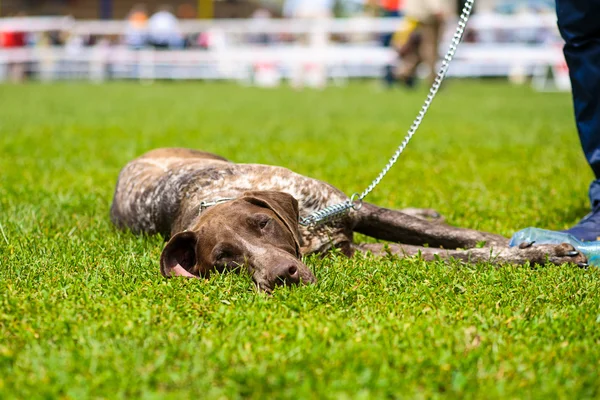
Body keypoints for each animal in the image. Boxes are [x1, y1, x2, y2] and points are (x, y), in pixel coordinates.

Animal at [110, 148, 588, 292]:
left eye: (261, 225)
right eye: (226, 260)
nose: (280, 276)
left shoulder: (355, 209)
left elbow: (458, 236)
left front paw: (523, 243)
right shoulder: (352, 251)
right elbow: (452, 255)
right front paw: (536, 253)